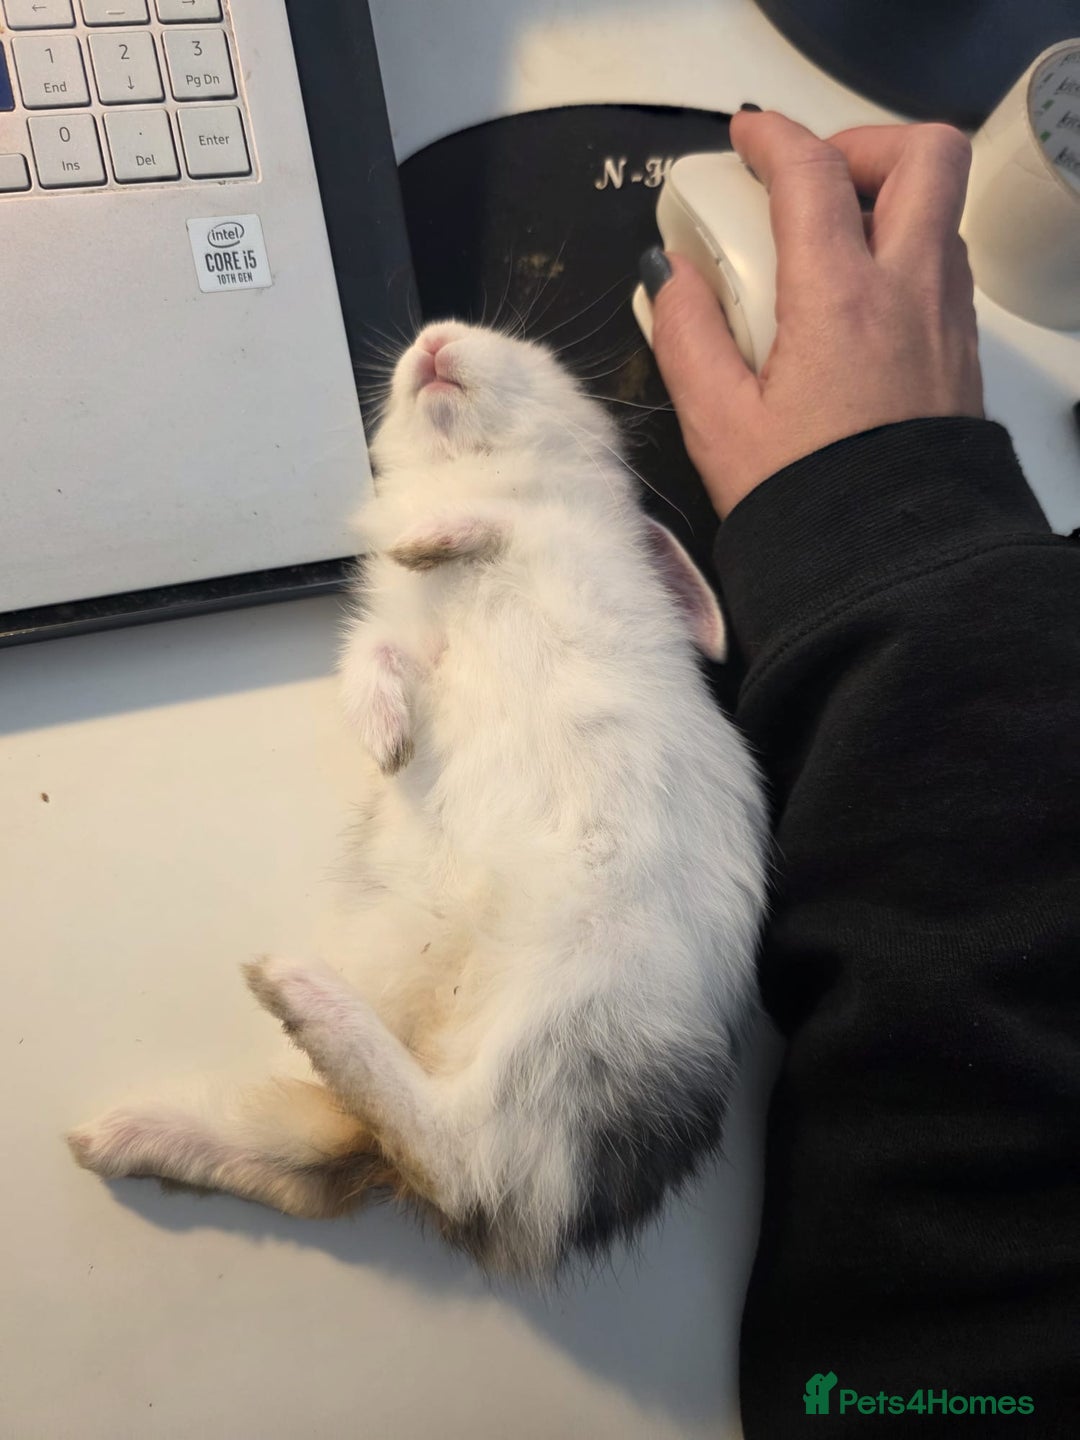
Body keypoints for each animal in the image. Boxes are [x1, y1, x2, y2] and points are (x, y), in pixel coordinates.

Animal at [69, 320, 768, 1278]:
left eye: (542, 357)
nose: (436, 338)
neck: (464, 468)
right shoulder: (400, 635)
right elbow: (379, 655)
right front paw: (386, 737)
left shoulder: (566, 545)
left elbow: (505, 525)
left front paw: (426, 541)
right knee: (339, 1158)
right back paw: (123, 1131)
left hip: (572, 1004)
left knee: (458, 1158)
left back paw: (292, 992)